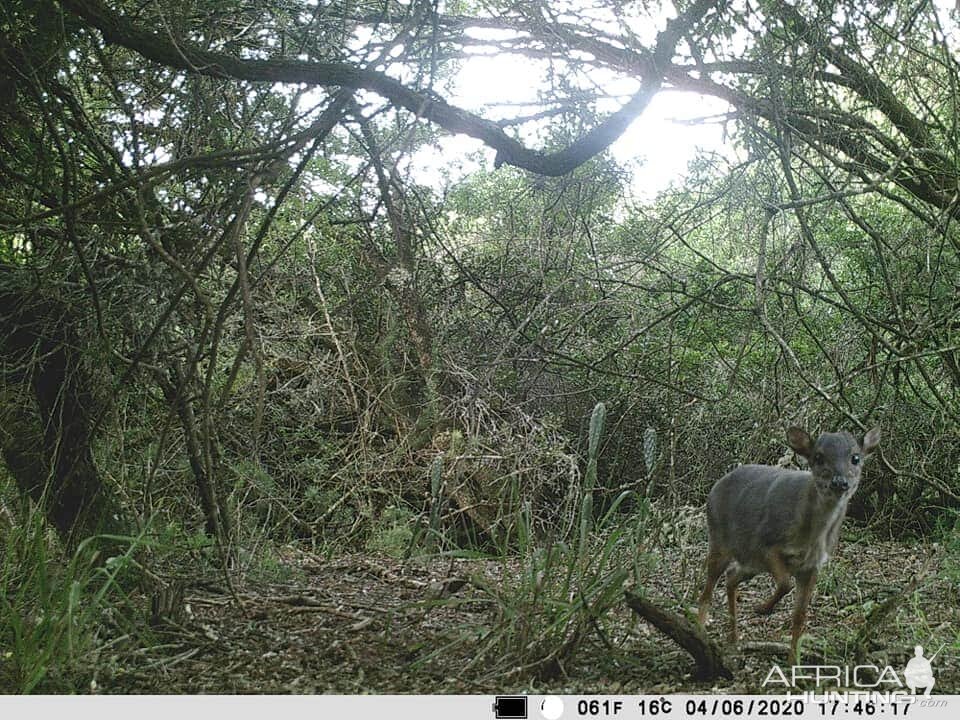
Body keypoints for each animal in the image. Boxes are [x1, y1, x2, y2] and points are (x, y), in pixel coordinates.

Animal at [692, 424, 880, 668]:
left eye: (855, 457)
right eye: (818, 457)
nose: (840, 482)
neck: (809, 536)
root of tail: (716, 485)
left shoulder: (813, 565)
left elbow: (800, 615)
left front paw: (793, 661)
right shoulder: (767, 542)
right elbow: (784, 584)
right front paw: (762, 608)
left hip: (750, 562)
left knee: (731, 576)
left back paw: (733, 638)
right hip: (719, 539)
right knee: (707, 590)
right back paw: (700, 633)